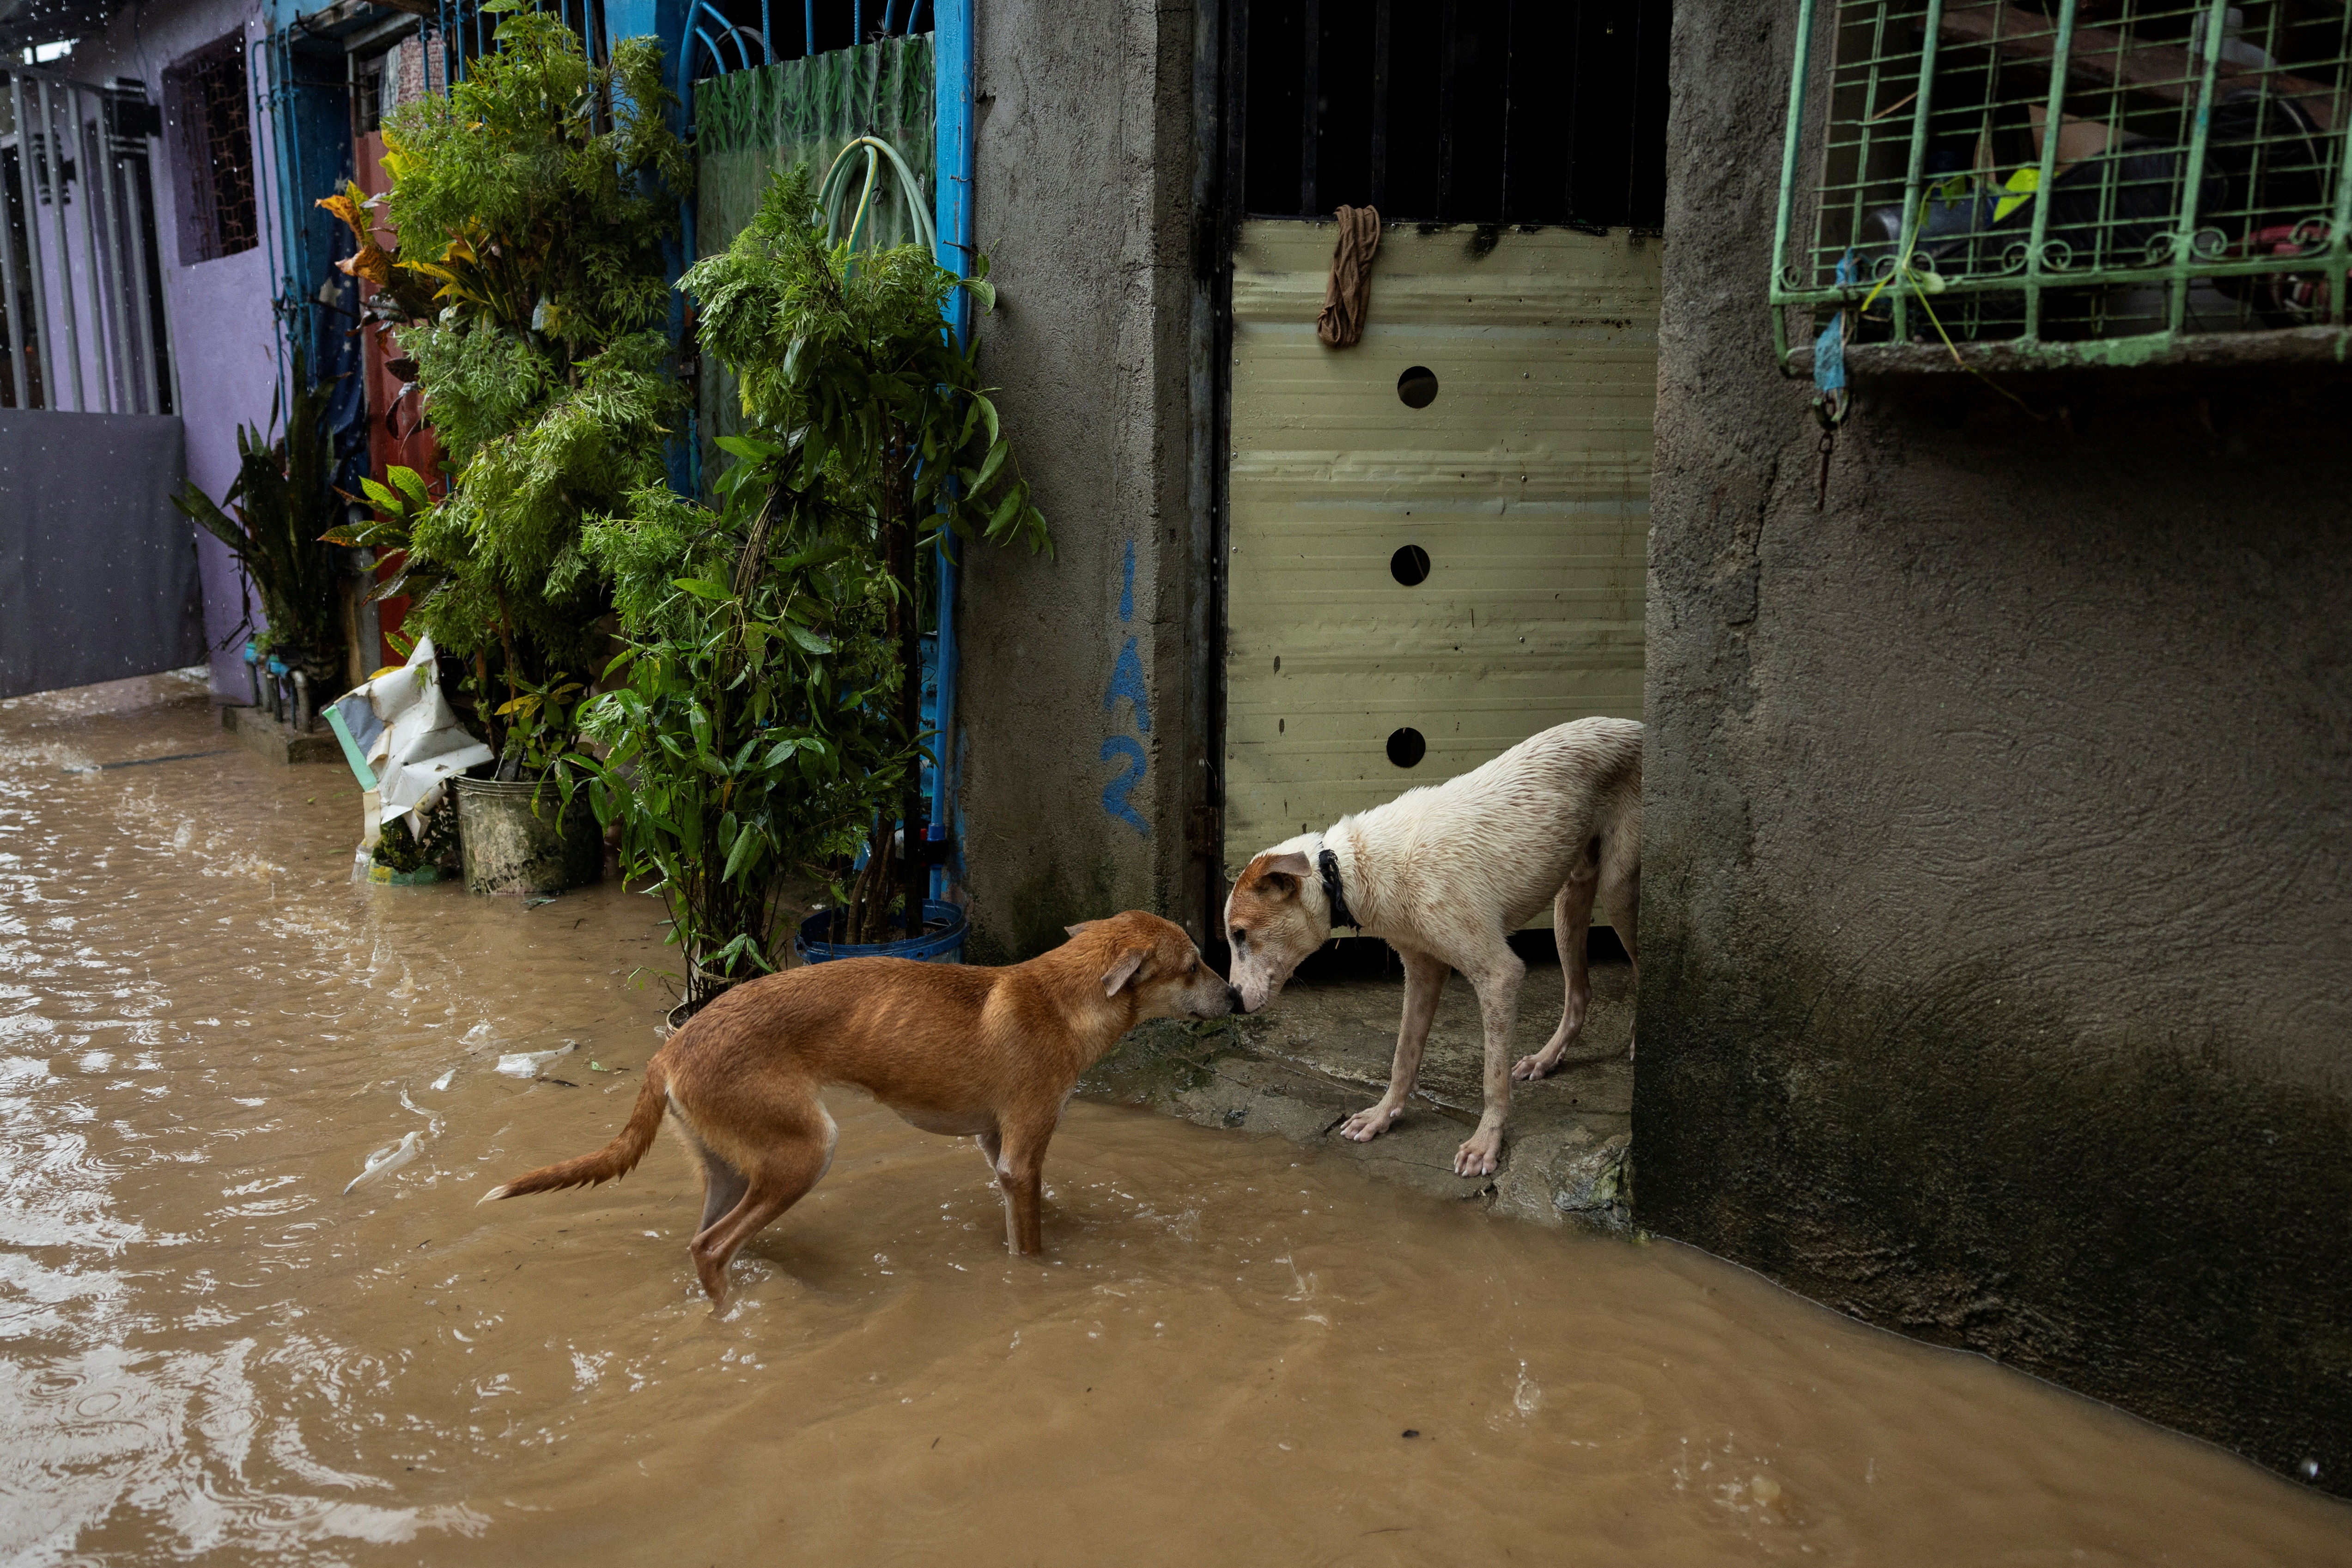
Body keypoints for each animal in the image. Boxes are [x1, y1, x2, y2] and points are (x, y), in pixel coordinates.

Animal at [468, 912, 1223, 1307]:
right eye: (1192, 966)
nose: (1237, 998)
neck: (1063, 996)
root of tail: (672, 1046)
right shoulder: (1020, 1150)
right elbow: (1031, 1241)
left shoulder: (998, 1148)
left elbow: (1034, 1205)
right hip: (806, 1151)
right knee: (711, 1246)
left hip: (732, 1170)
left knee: (702, 1242)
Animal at [1223, 719, 1646, 1171]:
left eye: (1240, 934)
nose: (1230, 1001)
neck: (1350, 872)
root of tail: (1634, 725)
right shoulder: (1422, 968)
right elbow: (1402, 1056)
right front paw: (1382, 1117)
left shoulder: (1499, 975)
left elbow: (1492, 1078)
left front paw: (1486, 1143)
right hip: (1570, 898)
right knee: (1579, 994)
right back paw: (1546, 1059)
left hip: (1618, 893)